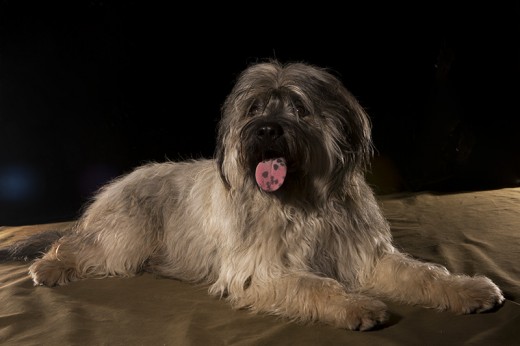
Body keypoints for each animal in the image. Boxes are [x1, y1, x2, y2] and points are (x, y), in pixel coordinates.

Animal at [2, 59, 504, 330]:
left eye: (299, 107)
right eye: (255, 107)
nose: (265, 130)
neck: (303, 200)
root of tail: (119, 183)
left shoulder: (364, 256)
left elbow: (422, 274)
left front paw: (466, 288)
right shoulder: (260, 270)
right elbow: (313, 283)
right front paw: (355, 304)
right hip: (125, 236)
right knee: (78, 245)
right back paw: (50, 266)